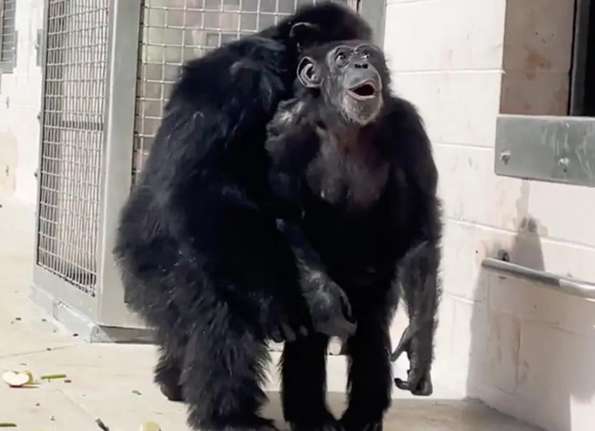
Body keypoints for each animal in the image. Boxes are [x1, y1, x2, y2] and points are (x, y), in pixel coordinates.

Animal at [266, 38, 442, 430]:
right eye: (342, 57)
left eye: (367, 53)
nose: (362, 63)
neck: (343, 124)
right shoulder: (284, 129)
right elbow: (283, 210)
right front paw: (326, 302)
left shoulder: (409, 128)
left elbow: (421, 227)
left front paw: (419, 345)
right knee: (310, 339)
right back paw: (312, 417)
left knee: (371, 331)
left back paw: (362, 417)